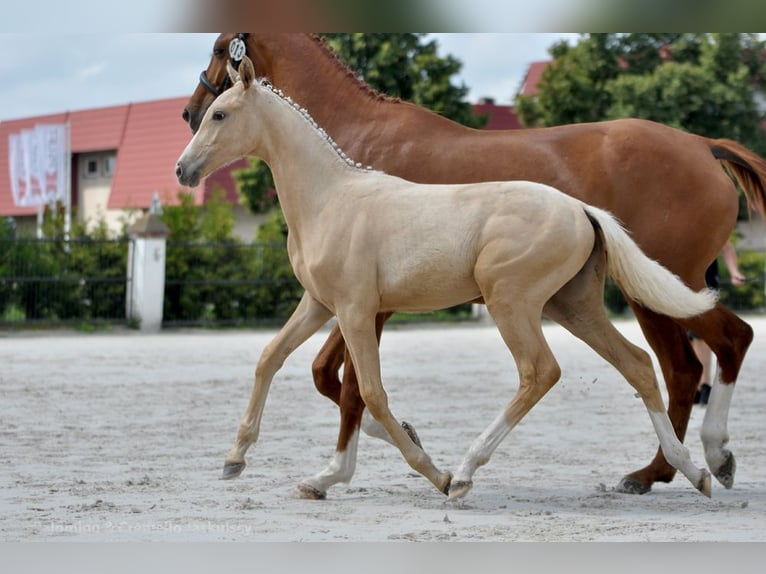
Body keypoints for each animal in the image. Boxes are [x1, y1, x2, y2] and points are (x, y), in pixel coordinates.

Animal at [183, 33, 766, 498]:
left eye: (220, 112)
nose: (183, 167)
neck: (333, 194)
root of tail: (581, 209)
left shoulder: (357, 310)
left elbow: (362, 390)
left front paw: (419, 469)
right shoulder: (319, 305)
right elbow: (272, 359)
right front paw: (237, 460)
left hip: (517, 301)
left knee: (549, 371)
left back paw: (466, 472)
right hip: (576, 305)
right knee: (644, 366)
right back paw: (690, 471)